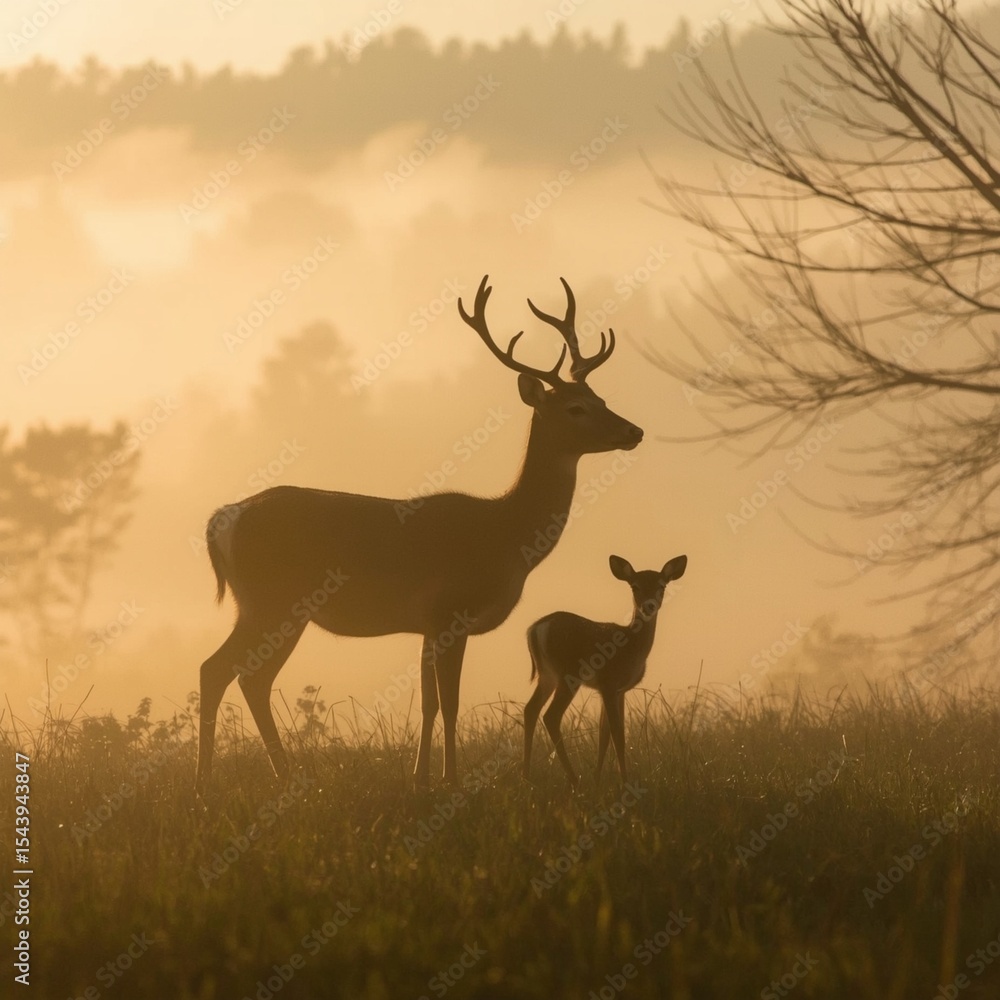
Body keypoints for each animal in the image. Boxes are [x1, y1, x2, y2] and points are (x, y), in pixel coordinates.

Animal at [195, 275, 644, 794]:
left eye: (602, 400)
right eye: (575, 408)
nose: (634, 431)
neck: (506, 535)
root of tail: (222, 519)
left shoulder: (429, 625)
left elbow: (429, 702)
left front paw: (421, 778)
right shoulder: (452, 612)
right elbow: (449, 701)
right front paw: (451, 779)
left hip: (268, 606)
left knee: (247, 678)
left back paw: (275, 775)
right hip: (273, 601)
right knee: (222, 670)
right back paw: (218, 780)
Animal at [523, 553, 687, 788]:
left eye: (661, 586)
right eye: (635, 586)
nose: (648, 606)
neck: (633, 647)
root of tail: (535, 629)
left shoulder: (617, 690)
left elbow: (605, 733)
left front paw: (598, 779)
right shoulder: (609, 683)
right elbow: (617, 732)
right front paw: (625, 782)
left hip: (547, 676)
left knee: (530, 709)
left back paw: (526, 777)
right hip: (569, 674)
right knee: (551, 716)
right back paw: (574, 781)